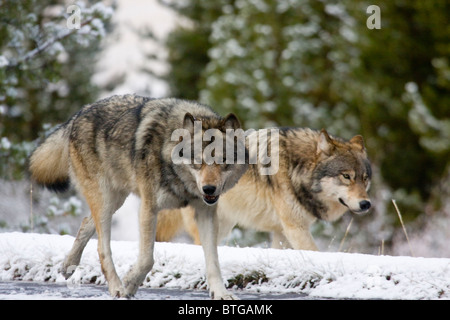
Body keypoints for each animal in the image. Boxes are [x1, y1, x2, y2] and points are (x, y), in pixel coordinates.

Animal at [29, 94, 246, 298]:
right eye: (197, 162)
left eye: (223, 160)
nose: (209, 189)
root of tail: (79, 113)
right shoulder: (148, 208)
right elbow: (147, 259)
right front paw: (130, 284)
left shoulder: (205, 213)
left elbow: (214, 261)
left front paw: (221, 293)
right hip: (106, 201)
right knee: (102, 247)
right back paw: (116, 287)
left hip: (115, 200)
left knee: (85, 223)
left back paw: (68, 265)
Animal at [156, 127, 370, 250]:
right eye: (346, 176)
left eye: (365, 178)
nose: (366, 204)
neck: (295, 167)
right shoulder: (296, 227)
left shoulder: (282, 232)